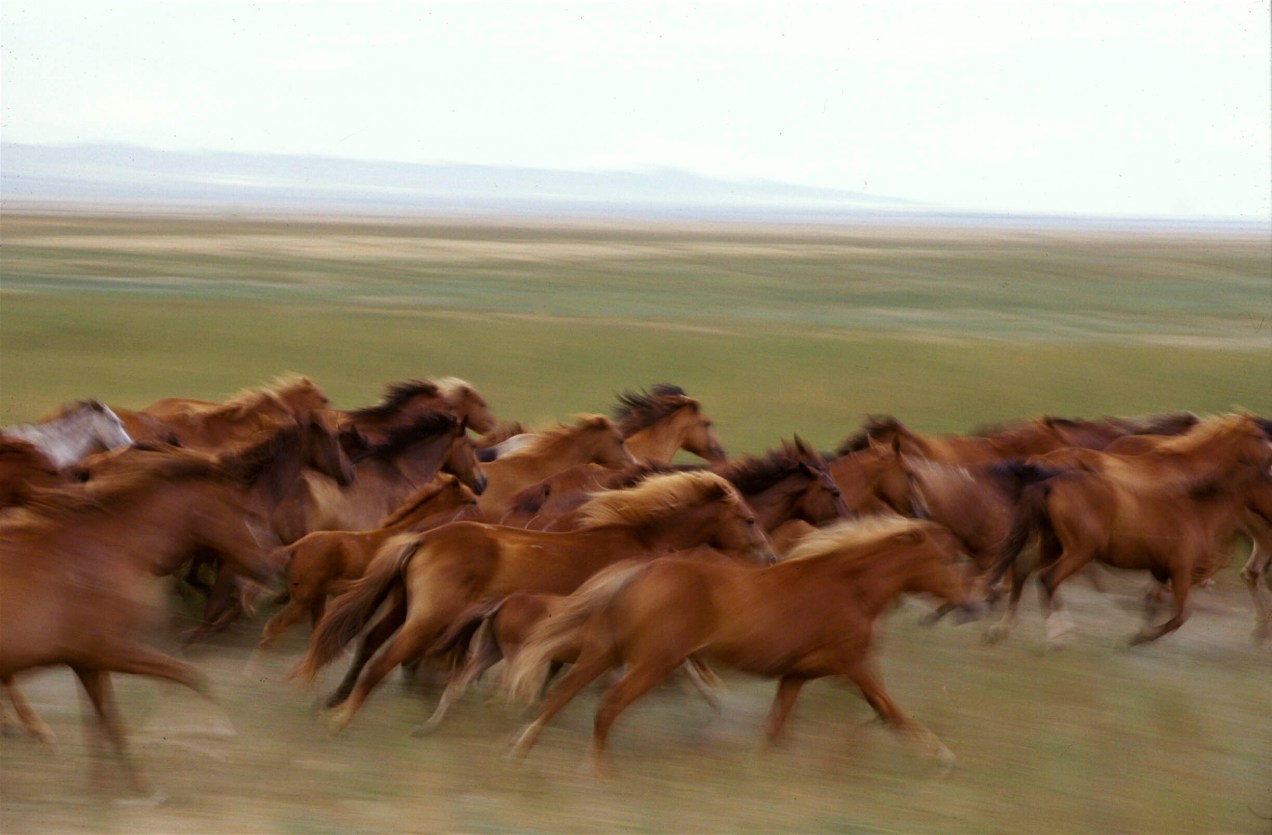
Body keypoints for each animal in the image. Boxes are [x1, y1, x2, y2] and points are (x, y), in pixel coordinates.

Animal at [0, 446, 284, 797]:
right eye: (245, 510)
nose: (269, 566)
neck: (108, 554)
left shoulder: (87, 661)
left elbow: (107, 722)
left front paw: (113, 789)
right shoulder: (113, 651)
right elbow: (190, 676)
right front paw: (216, 738)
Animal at [255, 475, 480, 652]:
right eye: (467, 495)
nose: (477, 500)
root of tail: (293, 548)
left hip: (316, 598)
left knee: (307, 627)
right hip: (304, 599)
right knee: (274, 627)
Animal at [292, 470, 775, 730]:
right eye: (749, 520)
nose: (770, 557)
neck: (637, 540)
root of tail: (424, 539)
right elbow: (682, 663)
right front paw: (714, 700)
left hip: (405, 610)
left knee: (371, 645)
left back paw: (334, 702)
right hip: (428, 619)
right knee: (382, 659)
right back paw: (340, 721)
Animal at [504, 516, 981, 774]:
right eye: (947, 560)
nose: (971, 605)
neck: (851, 588)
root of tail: (636, 572)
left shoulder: (796, 676)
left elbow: (774, 729)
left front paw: (757, 770)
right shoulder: (853, 667)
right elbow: (893, 712)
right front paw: (944, 759)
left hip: (604, 652)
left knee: (560, 696)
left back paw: (519, 754)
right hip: (653, 663)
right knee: (607, 707)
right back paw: (597, 772)